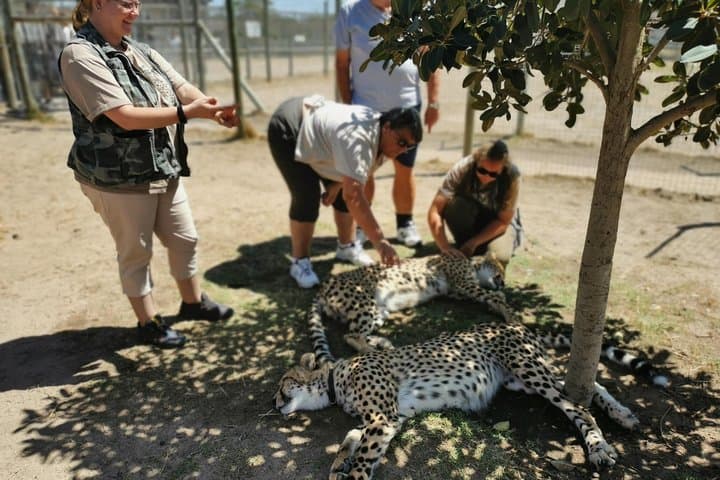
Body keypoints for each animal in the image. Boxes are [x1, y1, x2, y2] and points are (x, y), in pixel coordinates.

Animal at [275, 322, 667, 479]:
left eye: (283, 383)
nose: (276, 403)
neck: (334, 380)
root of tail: (517, 325)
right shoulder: (391, 418)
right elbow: (351, 439)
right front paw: (339, 463)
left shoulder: (383, 418)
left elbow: (363, 454)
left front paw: (352, 472)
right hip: (521, 380)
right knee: (587, 386)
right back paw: (625, 415)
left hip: (526, 368)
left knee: (577, 405)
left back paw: (600, 448)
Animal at [308, 252, 518, 363]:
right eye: (500, 270)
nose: (503, 283)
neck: (472, 264)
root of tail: (325, 284)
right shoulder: (465, 285)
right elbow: (494, 296)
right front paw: (511, 317)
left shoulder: (457, 291)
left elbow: (491, 297)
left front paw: (496, 306)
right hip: (364, 303)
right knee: (351, 335)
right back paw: (375, 352)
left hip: (379, 311)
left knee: (356, 332)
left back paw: (382, 343)